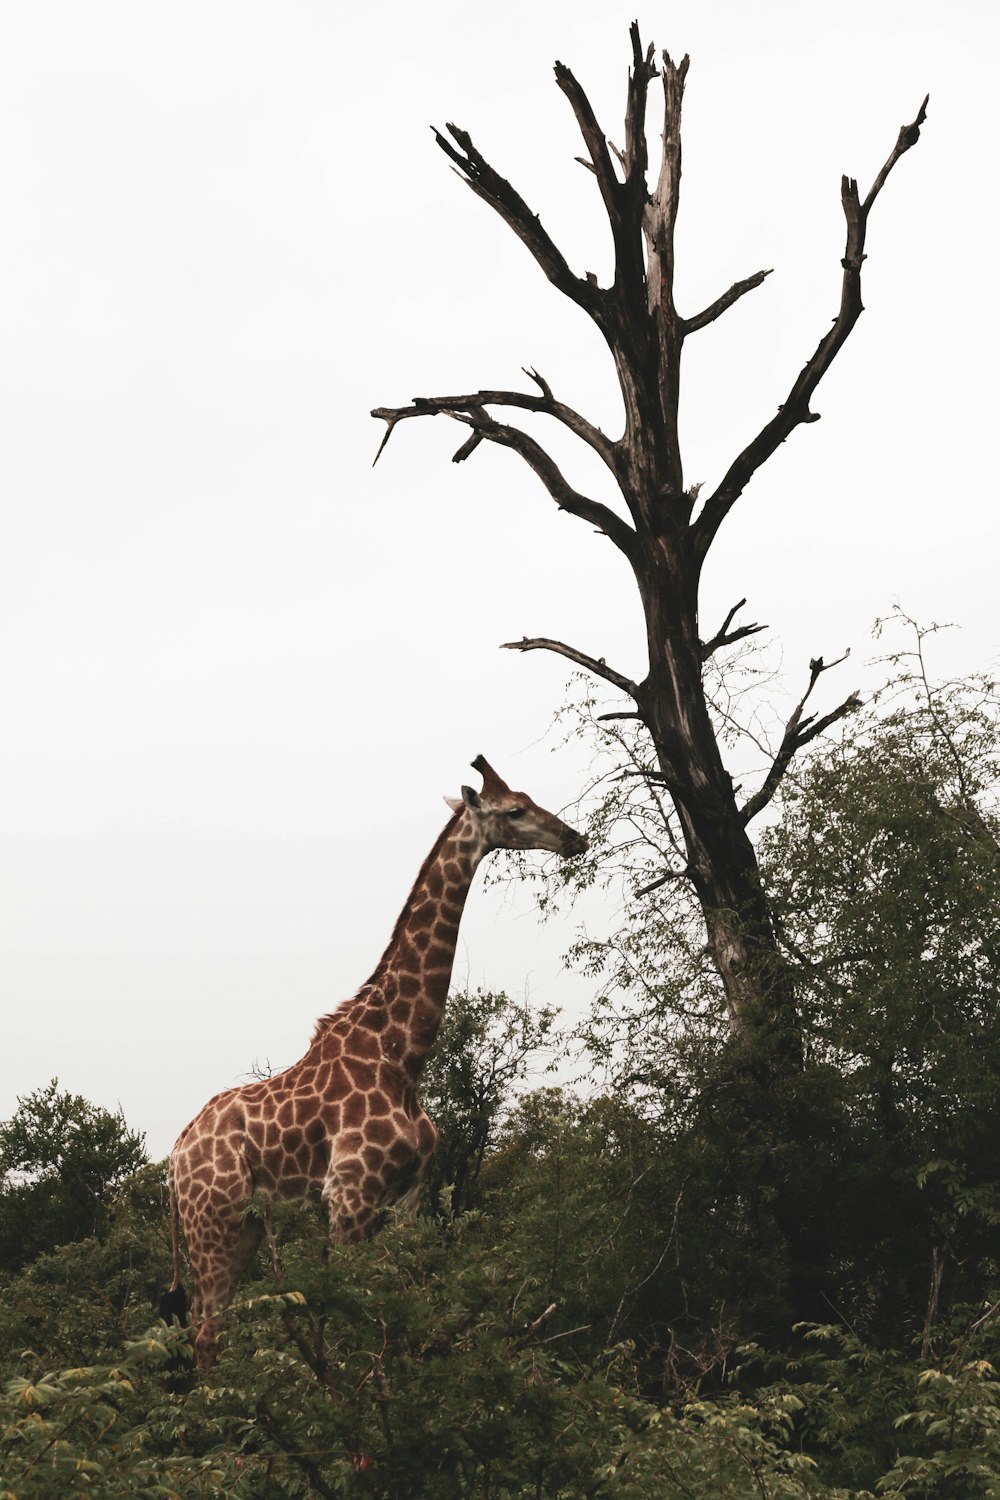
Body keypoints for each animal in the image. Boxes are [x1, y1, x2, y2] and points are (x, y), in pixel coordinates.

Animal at [166, 756, 587, 1368]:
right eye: (514, 810)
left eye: (529, 800)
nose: (574, 838)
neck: (403, 1054)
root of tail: (173, 1161)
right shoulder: (349, 1198)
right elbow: (351, 1326)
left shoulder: (407, 1200)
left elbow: (398, 1311)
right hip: (213, 1222)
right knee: (204, 1333)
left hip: (242, 1227)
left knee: (210, 1328)